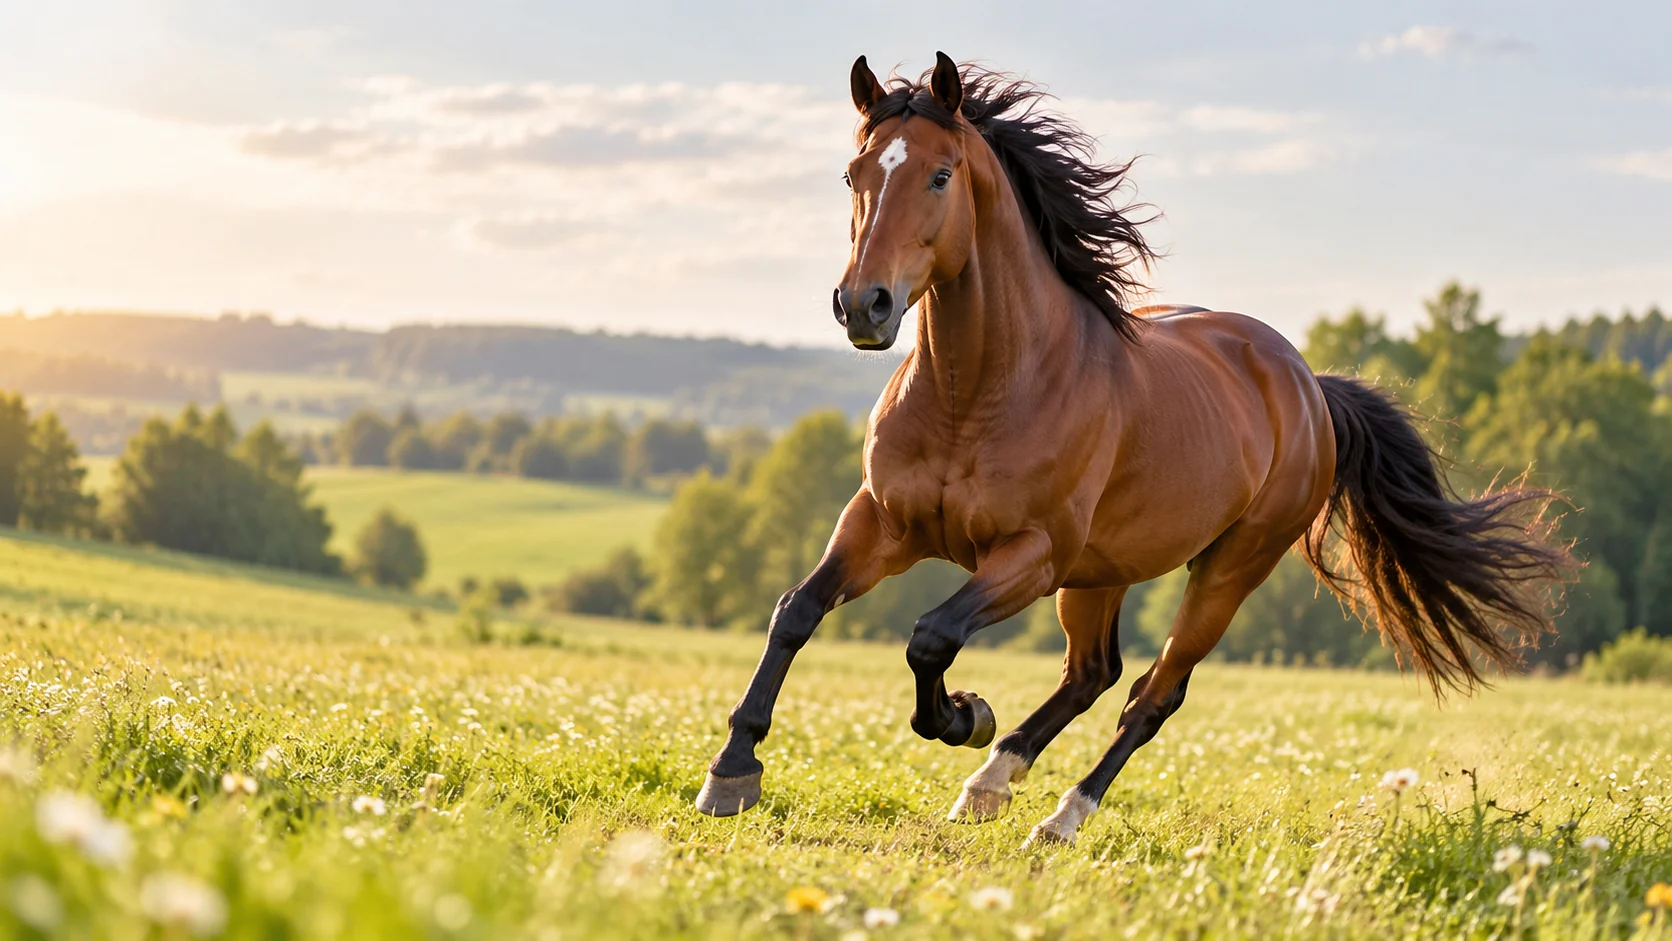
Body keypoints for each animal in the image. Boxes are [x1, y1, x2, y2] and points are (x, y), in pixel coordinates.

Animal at [694, 52, 1565, 847]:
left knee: (1150, 693)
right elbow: (796, 611)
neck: (976, 393)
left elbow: (931, 635)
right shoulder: (881, 521)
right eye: (853, 175)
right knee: (1092, 672)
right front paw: (732, 771)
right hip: (1101, 571)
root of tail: (1309, 386)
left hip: (1225, 569)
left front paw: (964, 714)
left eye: (940, 175)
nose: (863, 306)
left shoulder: (1031, 554)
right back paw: (989, 784)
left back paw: (1058, 815)